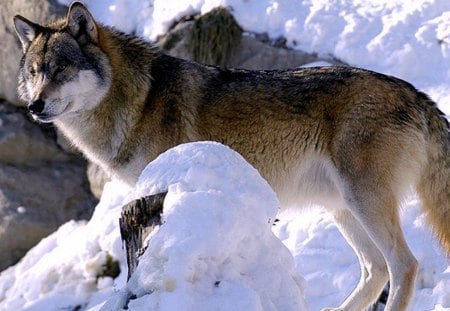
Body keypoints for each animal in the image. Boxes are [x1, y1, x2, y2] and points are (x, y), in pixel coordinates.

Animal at [13, 1, 446, 310]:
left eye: (62, 69)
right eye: (35, 72)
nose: (34, 106)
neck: (136, 100)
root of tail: (418, 95)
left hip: (363, 202)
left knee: (403, 266)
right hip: (342, 208)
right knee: (375, 270)